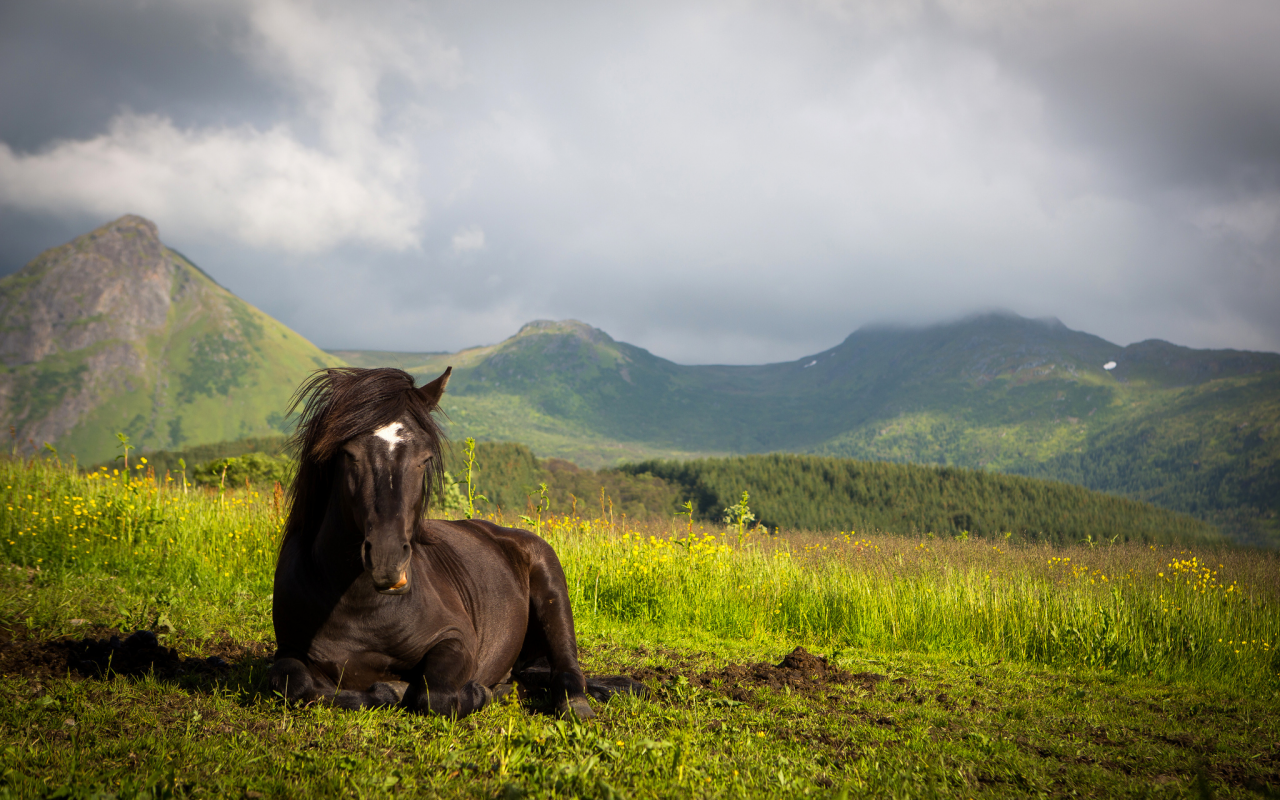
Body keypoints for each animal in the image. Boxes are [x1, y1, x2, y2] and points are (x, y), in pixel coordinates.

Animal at [270, 368, 624, 716]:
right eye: (349, 454)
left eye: (425, 458)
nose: (387, 560)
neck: (359, 606)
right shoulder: (289, 649)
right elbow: (295, 684)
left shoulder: (455, 639)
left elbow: (434, 694)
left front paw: (474, 693)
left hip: (552, 590)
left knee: (566, 669)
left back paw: (572, 705)